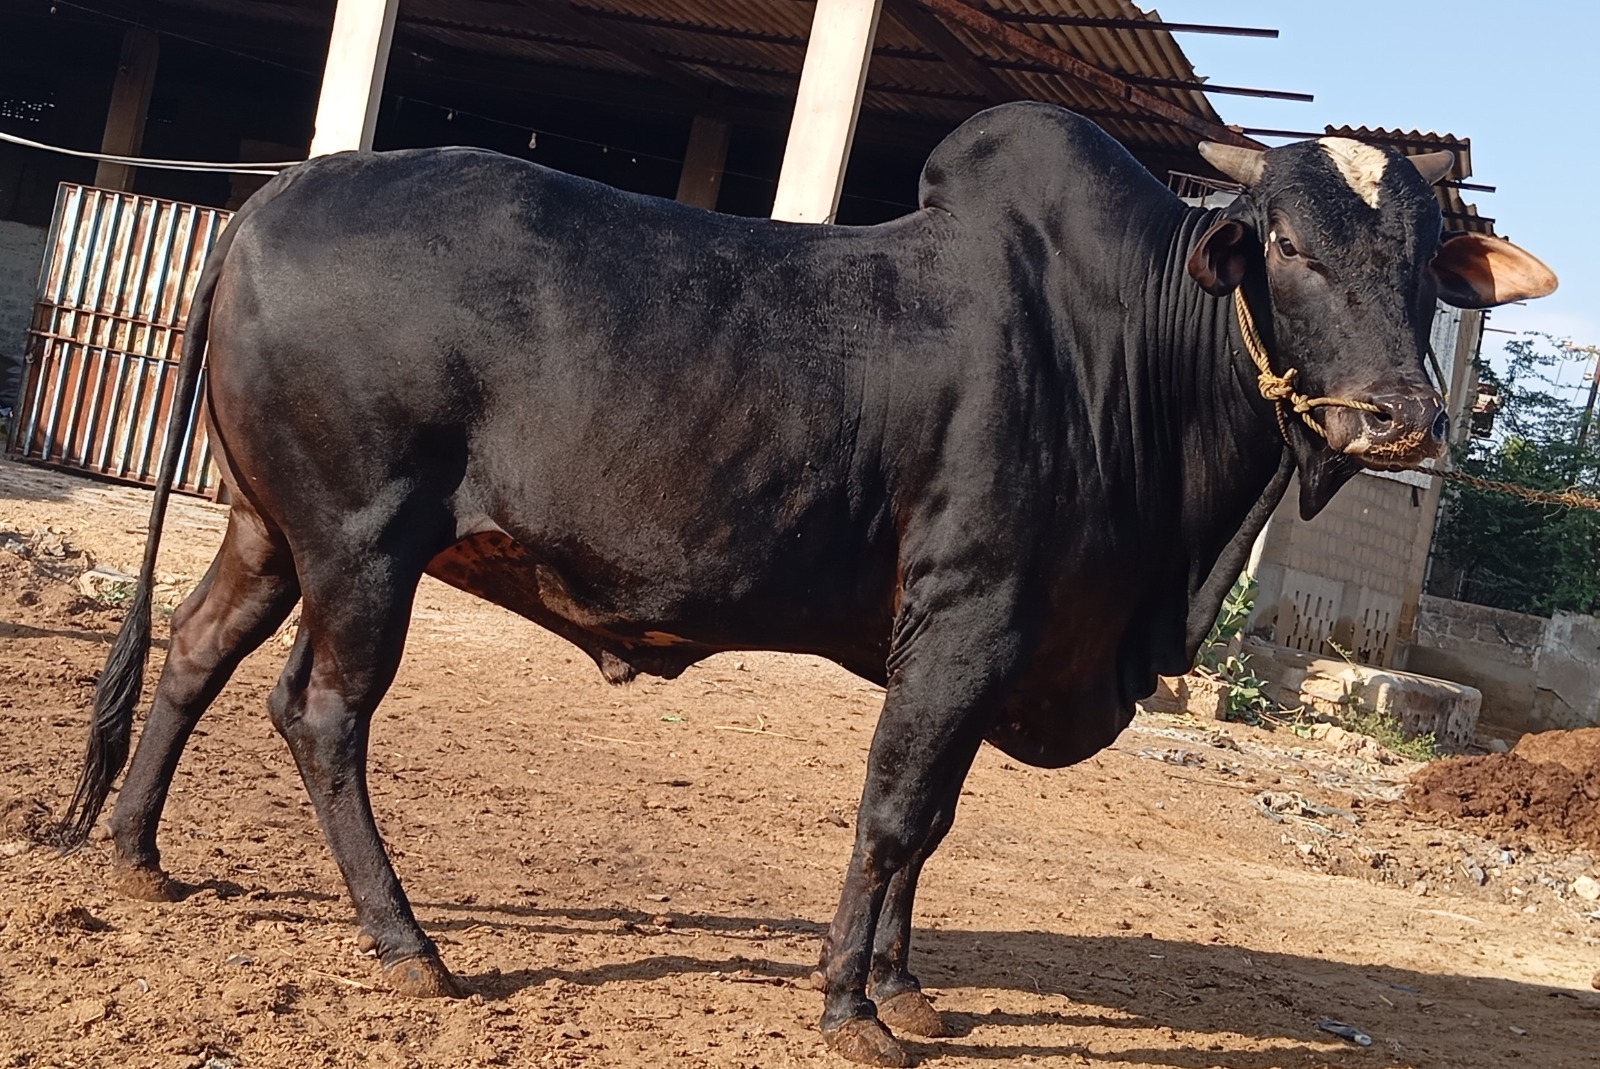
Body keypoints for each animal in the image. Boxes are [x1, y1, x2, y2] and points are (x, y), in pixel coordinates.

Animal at [54, 103, 1554, 1066]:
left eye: (1424, 266)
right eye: (1285, 244)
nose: (1399, 420)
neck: (1123, 353)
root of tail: (271, 196)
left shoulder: (991, 646)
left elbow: (933, 823)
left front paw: (908, 985)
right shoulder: (966, 619)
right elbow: (895, 811)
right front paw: (850, 1008)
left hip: (269, 529)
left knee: (191, 655)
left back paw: (136, 855)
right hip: (364, 541)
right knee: (321, 716)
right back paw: (406, 940)